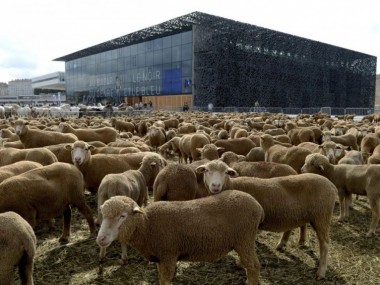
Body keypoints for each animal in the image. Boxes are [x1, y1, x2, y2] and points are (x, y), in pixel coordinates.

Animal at [96, 191, 266, 284]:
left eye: (122, 216)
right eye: (102, 215)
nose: (100, 239)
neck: (147, 225)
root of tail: (257, 205)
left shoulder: (168, 255)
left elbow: (165, 279)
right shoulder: (160, 257)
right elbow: (160, 278)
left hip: (244, 239)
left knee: (254, 265)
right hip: (244, 241)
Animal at [196, 159, 336, 278]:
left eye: (226, 172)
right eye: (207, 170)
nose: (215, 186)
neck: (232, 185)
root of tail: (330, 184)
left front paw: (240, 264)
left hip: (322, 215)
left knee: (325, 243)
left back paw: (321, 272)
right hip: (301, 214)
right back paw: (283, 244)